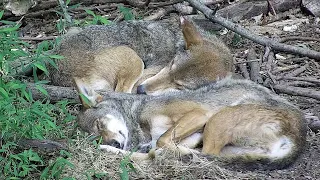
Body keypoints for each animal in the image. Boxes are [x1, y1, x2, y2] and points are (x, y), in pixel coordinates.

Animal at [75, 76, 308, 169]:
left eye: (99, 125)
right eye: (96, 137)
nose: (110, 142)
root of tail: (300, 137)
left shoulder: (199, 115)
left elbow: (161, 142)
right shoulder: (194, 136)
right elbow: (153, 148)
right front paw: (110, 150)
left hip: (217, 120)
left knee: (206, 153)